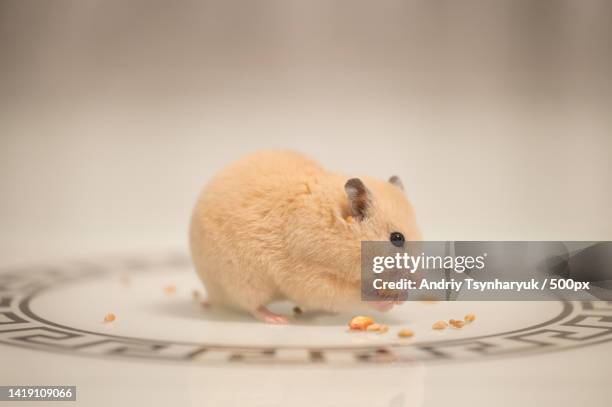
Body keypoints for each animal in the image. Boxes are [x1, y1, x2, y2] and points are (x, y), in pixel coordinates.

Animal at [190, 151, 420, 326]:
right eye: (397, 238)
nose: (417, 283)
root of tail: (211, 293)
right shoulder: (307, 276)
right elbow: (350, 296)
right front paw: (390, 301)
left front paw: (401, 296)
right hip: (243, 282)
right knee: (253, 306)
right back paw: (279, 319)